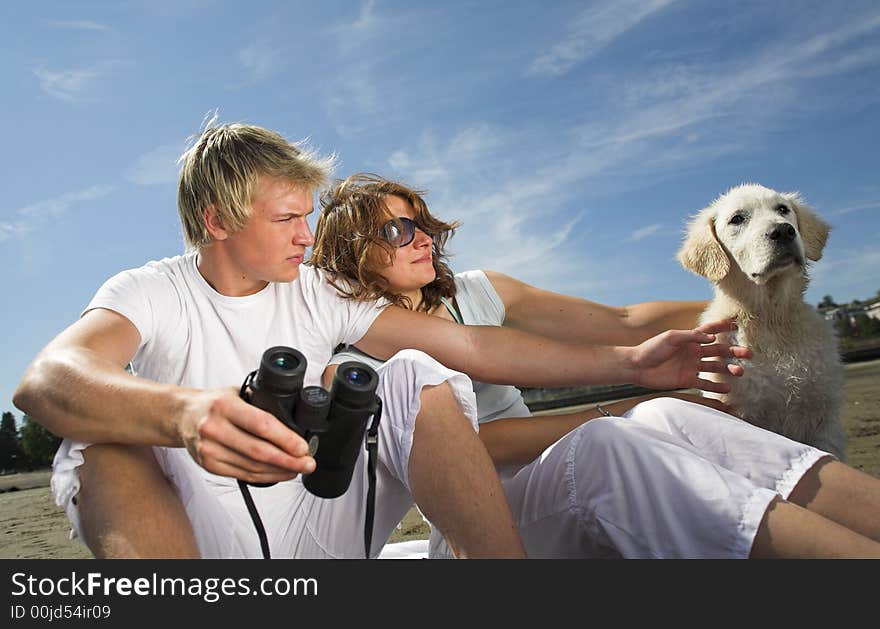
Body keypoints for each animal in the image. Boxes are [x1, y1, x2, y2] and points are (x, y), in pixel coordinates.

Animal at [676, 184, 848, 458]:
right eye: (737, 219)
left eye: (783, 209)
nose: (783, 231)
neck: (770, 318)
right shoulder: (740, 411)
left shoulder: (824, 416)